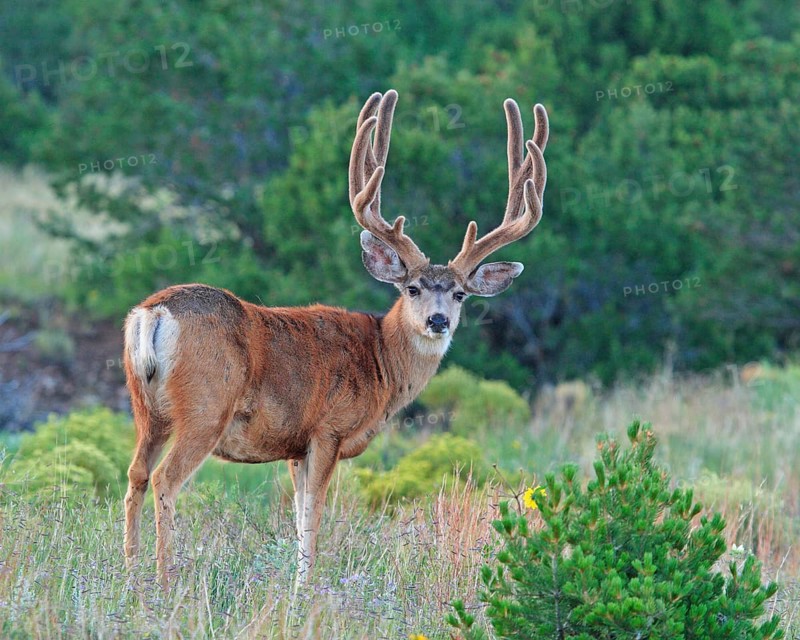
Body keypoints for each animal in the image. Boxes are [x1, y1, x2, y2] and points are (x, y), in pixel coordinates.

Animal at [122, 89, 549, 589]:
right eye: (412, 288)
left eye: (460, 293)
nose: (439, 321)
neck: (382, 362)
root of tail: (154, 312)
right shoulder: (327, 429)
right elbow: (313, 514)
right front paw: (303, 589)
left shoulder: (293, 446)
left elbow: (297, 514)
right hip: (205, 407)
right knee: (165, 479)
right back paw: (166, 583)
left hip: (146, 406)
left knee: (136, 473)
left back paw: (129, 577)